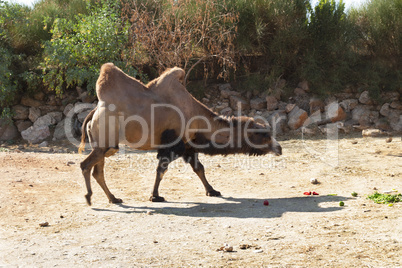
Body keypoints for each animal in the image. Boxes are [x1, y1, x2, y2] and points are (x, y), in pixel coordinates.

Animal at [77, 62, 280, 205]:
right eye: (263, 134)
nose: (279, 148)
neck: (196, 118)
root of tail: (95, 111)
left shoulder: (188, 145)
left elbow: (199, 168)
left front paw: (212, 191)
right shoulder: (173, 144)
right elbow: (162, 169)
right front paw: (155, 196)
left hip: (104, 144)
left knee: (98, 170)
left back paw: (113, 198)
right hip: (106, 137)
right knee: (86, 165)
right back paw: (89, 196)